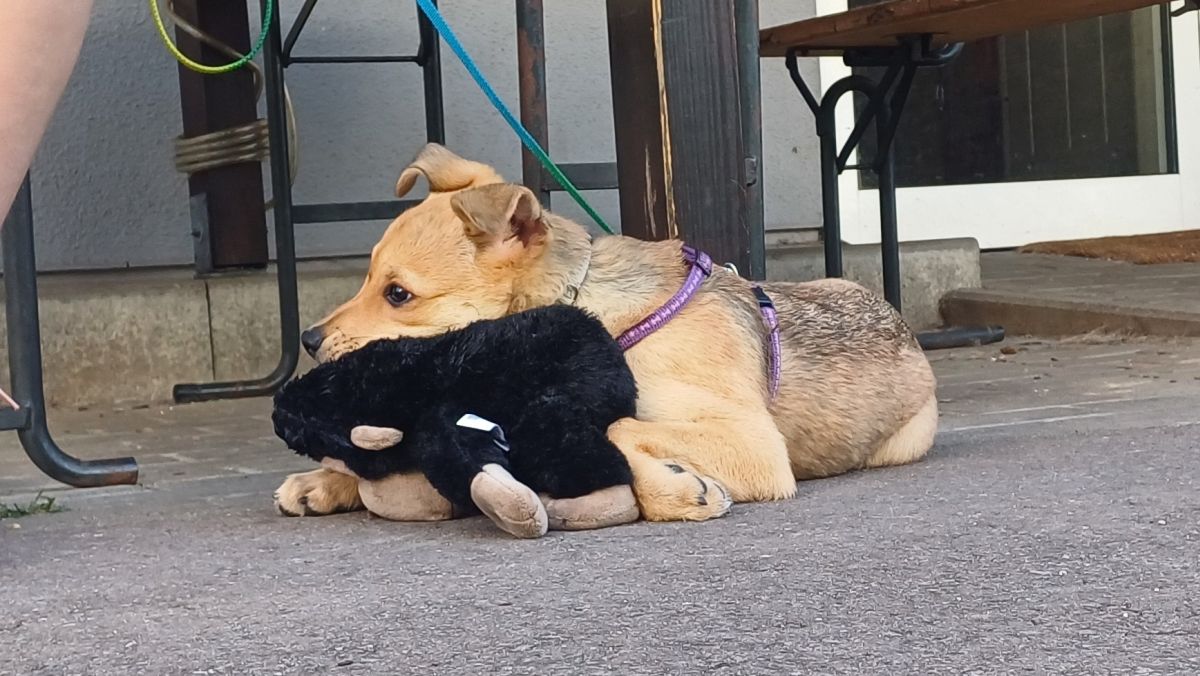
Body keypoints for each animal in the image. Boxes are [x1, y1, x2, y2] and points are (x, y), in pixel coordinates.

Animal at [273, 143, 938, 522]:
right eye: (367, 277)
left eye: (398, 295)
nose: (308, 340)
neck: (593, 314)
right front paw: (325, 481)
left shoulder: (754, 444)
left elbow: (615, 429)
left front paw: (675, 492)